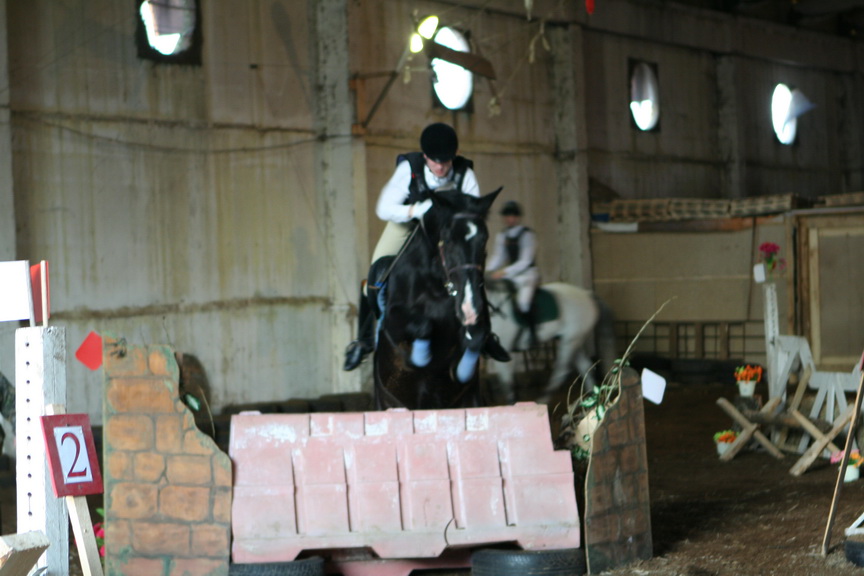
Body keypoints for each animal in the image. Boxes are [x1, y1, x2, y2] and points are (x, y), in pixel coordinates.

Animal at [484, 279, 616, 404]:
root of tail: (586, 294)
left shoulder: (503, 353)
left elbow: (507, 384)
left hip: (570, 342)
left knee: (561, 372)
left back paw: (542, 401)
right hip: (573, 341)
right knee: (585, 367)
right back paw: (591, 400)